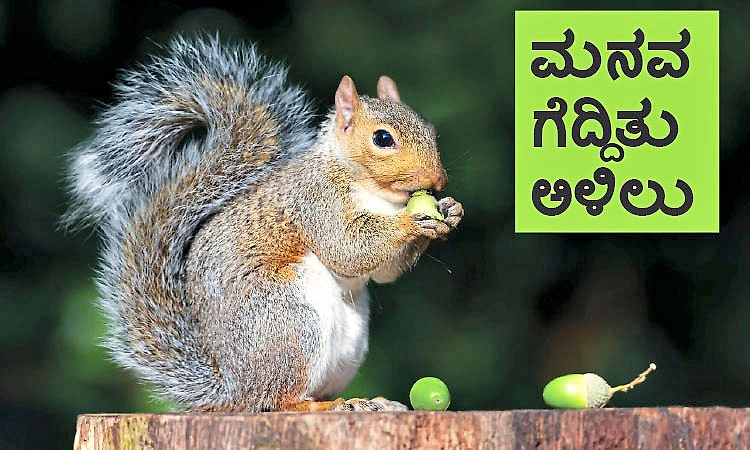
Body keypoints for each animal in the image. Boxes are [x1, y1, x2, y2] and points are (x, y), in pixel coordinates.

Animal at [65, 36, 463, 412]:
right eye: (382, 138)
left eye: (431, 131)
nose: (438, 180)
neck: (376, 194)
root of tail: (233, 387)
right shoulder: (316, 202)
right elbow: (347, 249)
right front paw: (413, 219)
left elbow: (383, 273)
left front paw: (451, 210)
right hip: (290, 321)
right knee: (279, 399)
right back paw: (322, 406)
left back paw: (367, 402)